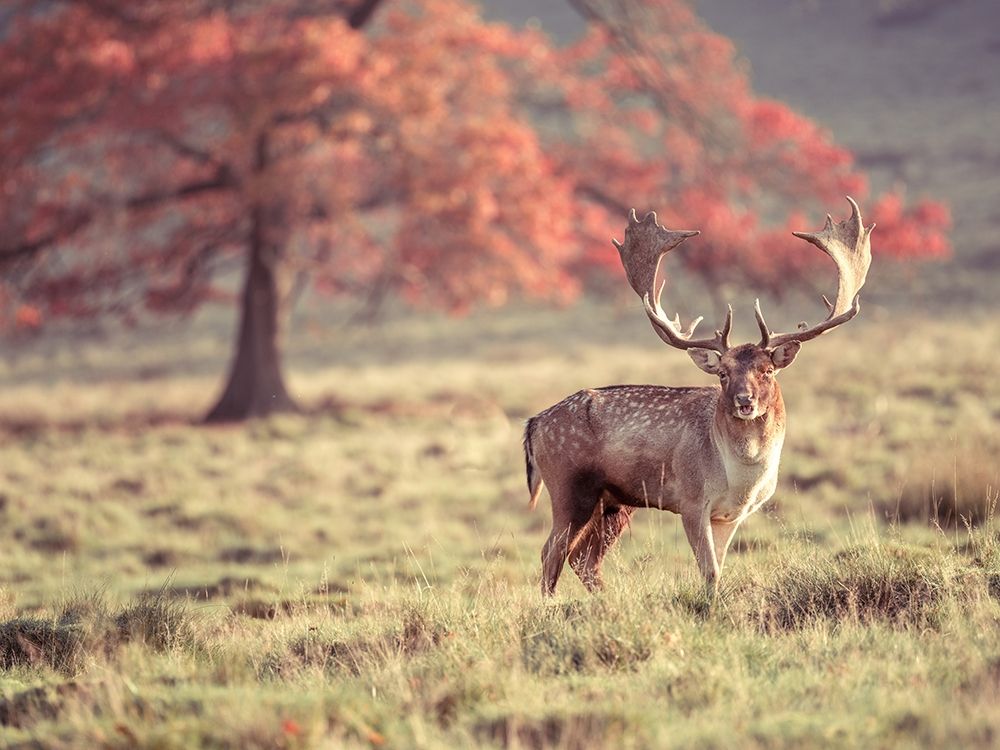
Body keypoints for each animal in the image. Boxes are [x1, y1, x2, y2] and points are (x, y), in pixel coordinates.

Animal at [523, 197, 873, 596]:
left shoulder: (729, 515)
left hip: (614, 502)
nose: (744, 401)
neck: (741, 479)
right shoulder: (690, 500)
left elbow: (718, 568)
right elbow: (710, 571)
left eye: (767, 371)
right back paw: (551, 604)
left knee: (584, 558)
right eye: (723, 373)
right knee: (551, 552)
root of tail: (533, 424)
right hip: (570, 486)